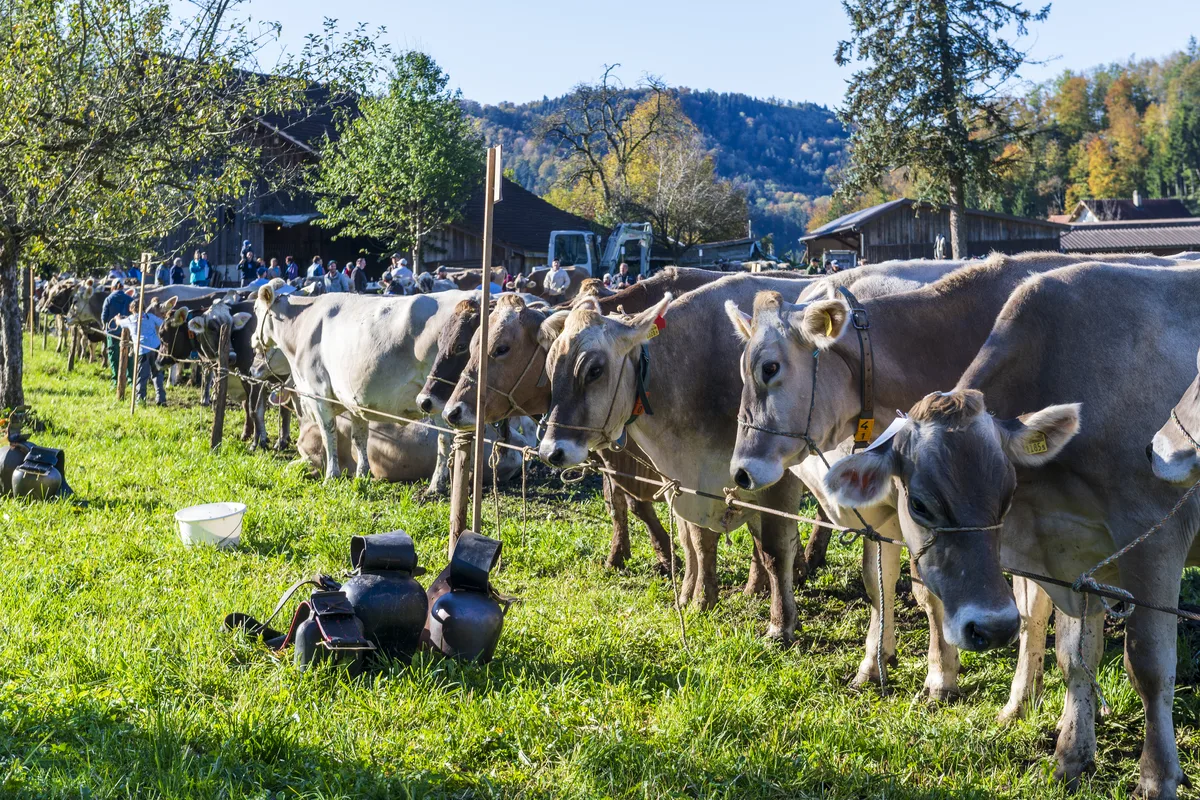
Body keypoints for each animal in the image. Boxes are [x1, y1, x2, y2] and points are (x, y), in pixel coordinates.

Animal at [252, 280, 480, 481]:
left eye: (255, 308)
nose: (253, 340)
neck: (301, 325)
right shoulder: (353, 399)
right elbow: (359, 437)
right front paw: (362, 475)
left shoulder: (318, 393)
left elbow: (329, 435)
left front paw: (331, 476)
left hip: (438, 399)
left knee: (444, 439)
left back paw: (436, 485)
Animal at [821, 263, 1200, 798]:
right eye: (919, 504)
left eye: (1006, 494)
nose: (993, 626)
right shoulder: (1074, 557)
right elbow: (1074, 657)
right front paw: (1071, 756)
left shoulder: (1156, 539)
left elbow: (1147, 666)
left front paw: (1157, 776)